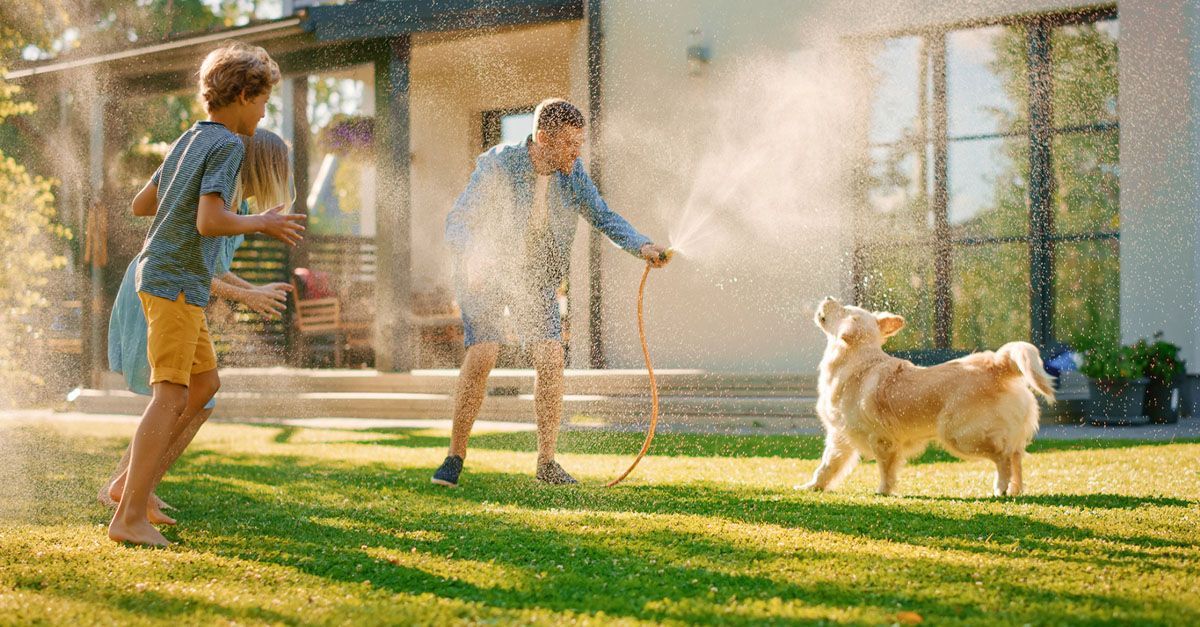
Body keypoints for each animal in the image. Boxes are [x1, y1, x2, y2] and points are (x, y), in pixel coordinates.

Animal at [801, 295, 1056, 494]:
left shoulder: (882, 440)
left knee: (1004, 456)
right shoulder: (840, 437)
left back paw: (1001, 487)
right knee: (1016, 456)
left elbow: (886, 469)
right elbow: (826, 466)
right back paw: (1015, 489)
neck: (858, 361)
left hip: (960, 435)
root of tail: (995, 363)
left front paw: (884, 491)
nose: (828, 297)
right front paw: (812, 486)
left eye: (843, 309)